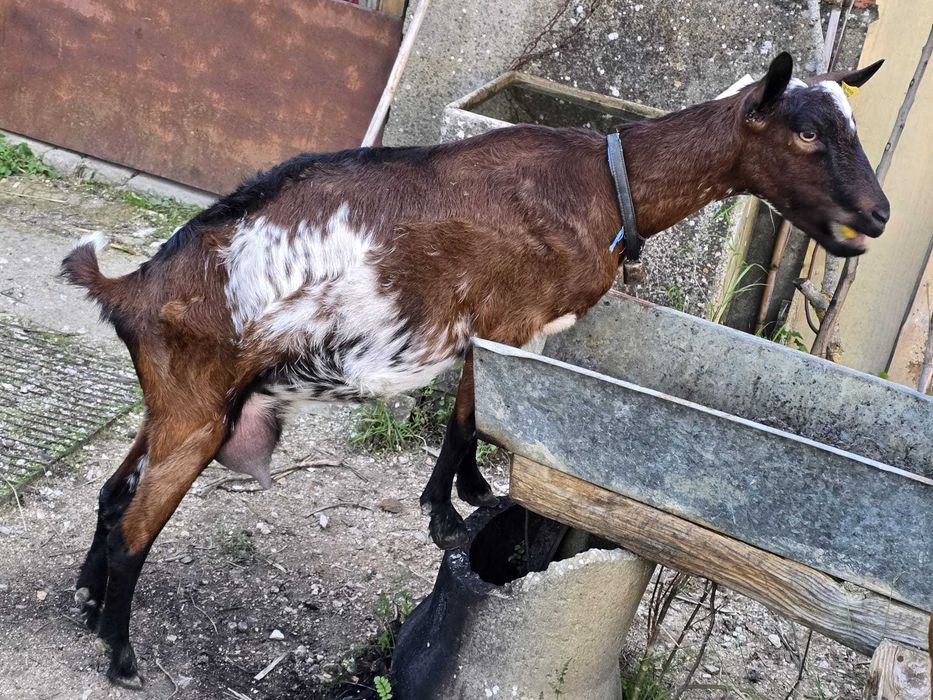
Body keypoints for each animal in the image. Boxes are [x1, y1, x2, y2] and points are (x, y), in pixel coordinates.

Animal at [62, 52, 888, 686]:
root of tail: (131, 288)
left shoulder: (492, 334)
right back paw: (121, 657)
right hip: (196, 411)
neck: (607, 182)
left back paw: (87, 607)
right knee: (134, 527)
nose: (877, 216)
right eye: (807, 131)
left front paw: (469, 492)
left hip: (180, 404)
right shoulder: (512, 325)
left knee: (112, 493)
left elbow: (475, 416)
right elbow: (466, 419)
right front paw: (446, 517)